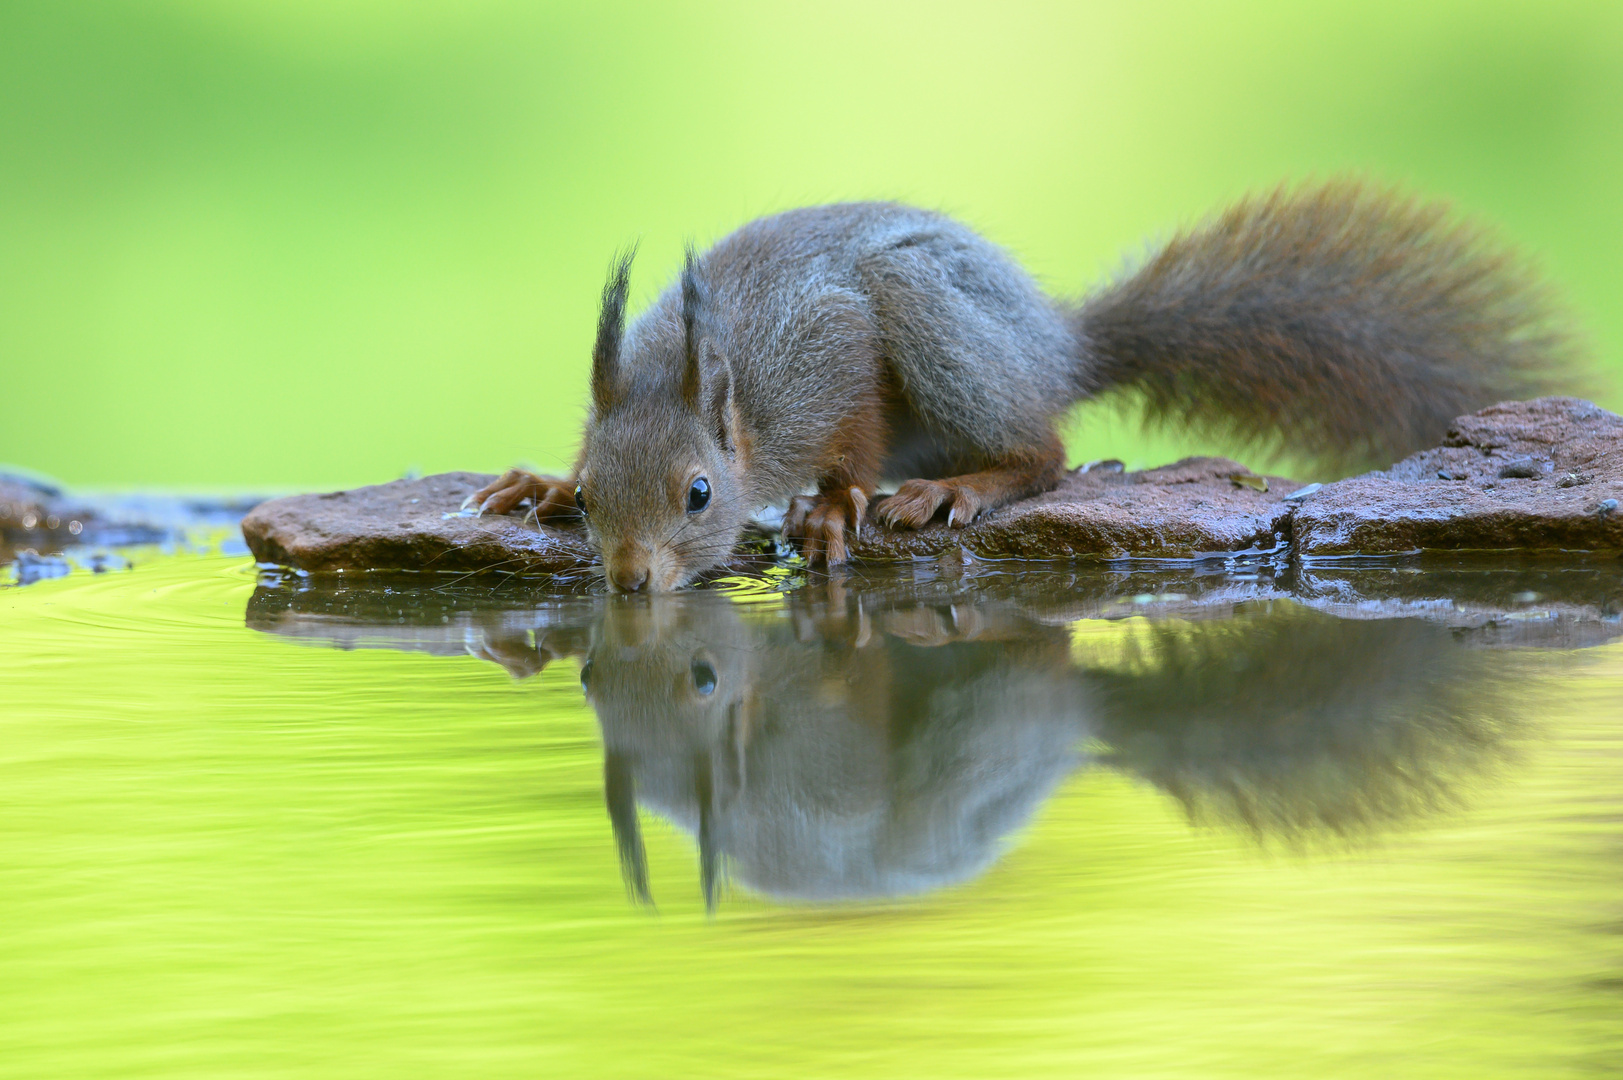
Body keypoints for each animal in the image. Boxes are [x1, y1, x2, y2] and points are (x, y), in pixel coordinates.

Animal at [467, 181, 1571, 594]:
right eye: (595, 491)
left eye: (699, 494)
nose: (627, 580)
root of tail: (1055, 346)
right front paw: (538, 486)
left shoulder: (831, 348)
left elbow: (852, 436)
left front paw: (830, 509)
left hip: (934, 318)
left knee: (1046, 453)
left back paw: (955, 489)